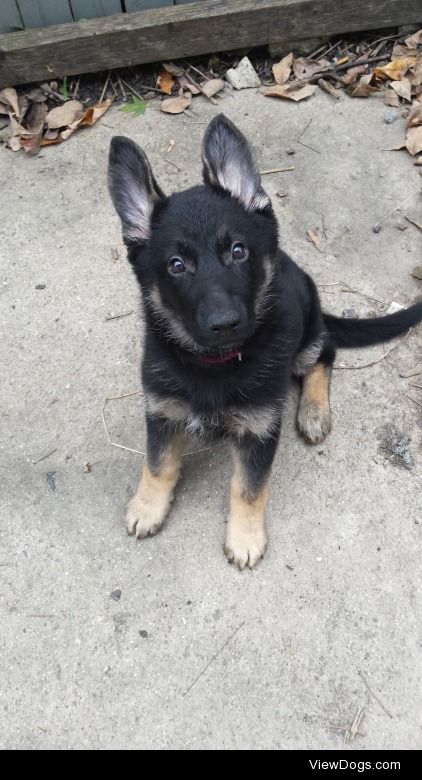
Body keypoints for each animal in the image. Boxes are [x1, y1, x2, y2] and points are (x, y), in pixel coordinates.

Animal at [109, 114, 422, 568]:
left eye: (238, 251)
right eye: (176, 265)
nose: (225, 323)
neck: (214, 363)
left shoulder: (260, 429)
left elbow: (248, 488)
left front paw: (244, 537)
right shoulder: (162, 412)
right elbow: (157, 464)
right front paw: (147, 508)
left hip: (307, 333)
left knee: (324, 353)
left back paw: (313, 411)